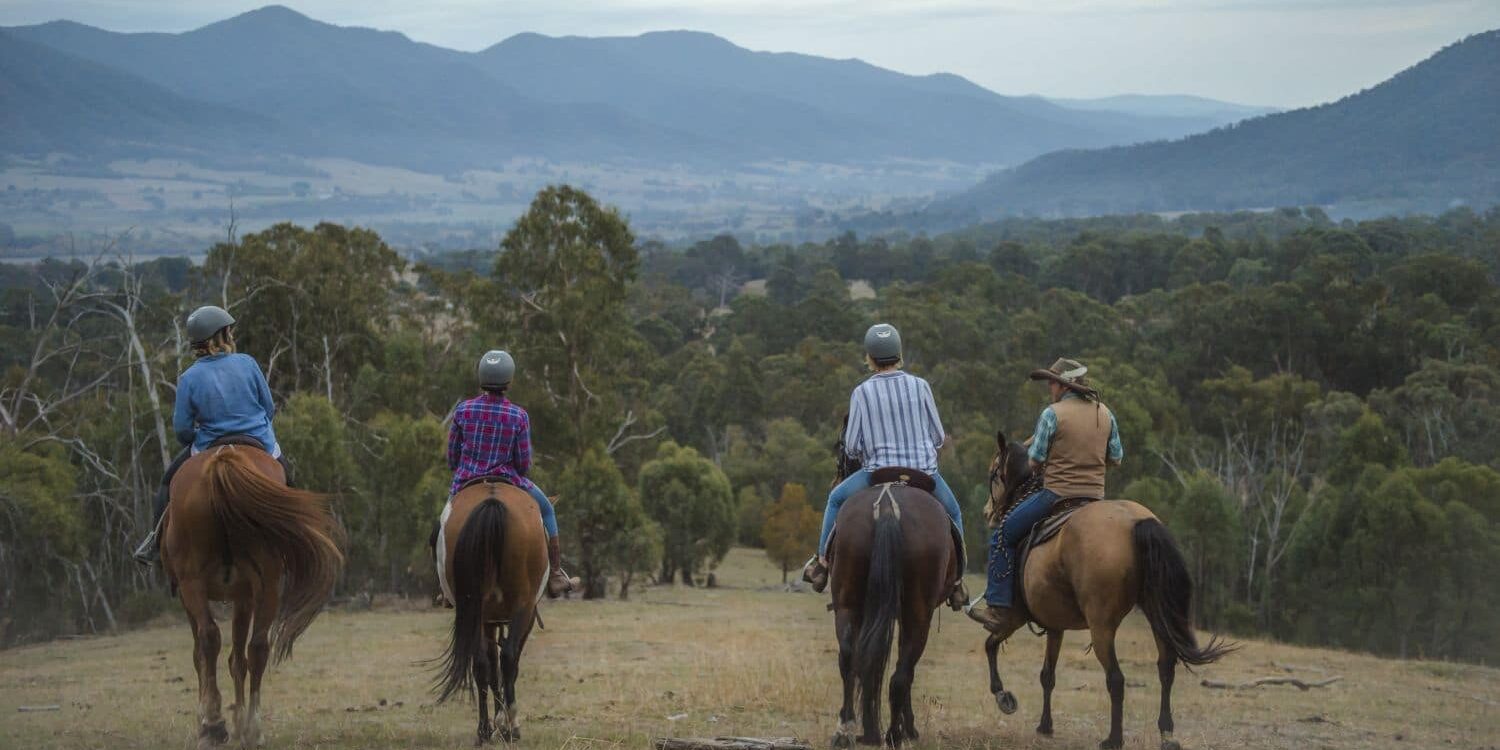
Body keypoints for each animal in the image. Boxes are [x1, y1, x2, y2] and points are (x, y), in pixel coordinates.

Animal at [162, 444, 343, 750]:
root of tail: (223, 458)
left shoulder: (200, 596)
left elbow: (204, 657)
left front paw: (210, 719)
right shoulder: (244, 596)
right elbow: (237, 660)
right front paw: (237, 723)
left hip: (192, 582)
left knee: (208, 639)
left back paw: (213, 725)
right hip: (266, 583)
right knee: (257, 647)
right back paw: (252, 729)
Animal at [432, 480, 549, 744]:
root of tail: (492, 501)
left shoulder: (488, 620)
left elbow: (491, 668)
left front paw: (496, 721)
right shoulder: (525, 617)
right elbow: (509, 667)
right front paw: (503, 722)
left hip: (475, 611)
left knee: (481, 663)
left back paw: (484, 730)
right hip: (522, 606)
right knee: (507, 658)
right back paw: (512, 726)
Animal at [822, 438, 960, 747]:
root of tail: (887, 505)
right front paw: (906, 728)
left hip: (848, 601)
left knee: (850, 657)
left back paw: (846, 729)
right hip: (918, 613)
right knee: (901, 671)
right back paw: (896, 733)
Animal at [978, 435, 1236, 750]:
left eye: (993, 472)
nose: (988, 512)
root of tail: (1136, 522)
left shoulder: (1015, 616)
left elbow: (991, 644)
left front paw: (1002, 696)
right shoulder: (1055, 625)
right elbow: (1047, 675)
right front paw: (1045, 726)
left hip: (1101, 626)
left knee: (1116, 678)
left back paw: (1113, 739)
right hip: (1156, 614)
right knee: (1166, 668)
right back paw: (1166, 734)